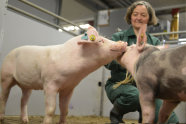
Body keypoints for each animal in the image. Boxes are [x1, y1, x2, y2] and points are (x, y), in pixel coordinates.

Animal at [0, 26, 128, 124]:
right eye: (101, 41)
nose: (123, 42)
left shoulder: (69, 87)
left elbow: (65, 109)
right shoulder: (49, 84)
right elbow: (51, 108)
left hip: (27, 86)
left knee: (23, 101)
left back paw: (25, 121)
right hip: (6, 77)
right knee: (4, 97)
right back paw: (2, 119)